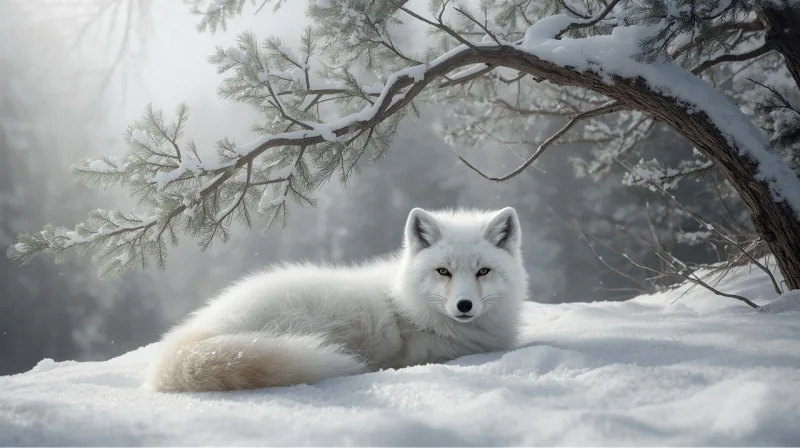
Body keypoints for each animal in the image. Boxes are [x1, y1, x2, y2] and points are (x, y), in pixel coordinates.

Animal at [144, 207, 529, 392]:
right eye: (443, 272)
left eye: (483, 271)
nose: (464, 306)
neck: (406, 306)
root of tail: (196, 332)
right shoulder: (423, 352)